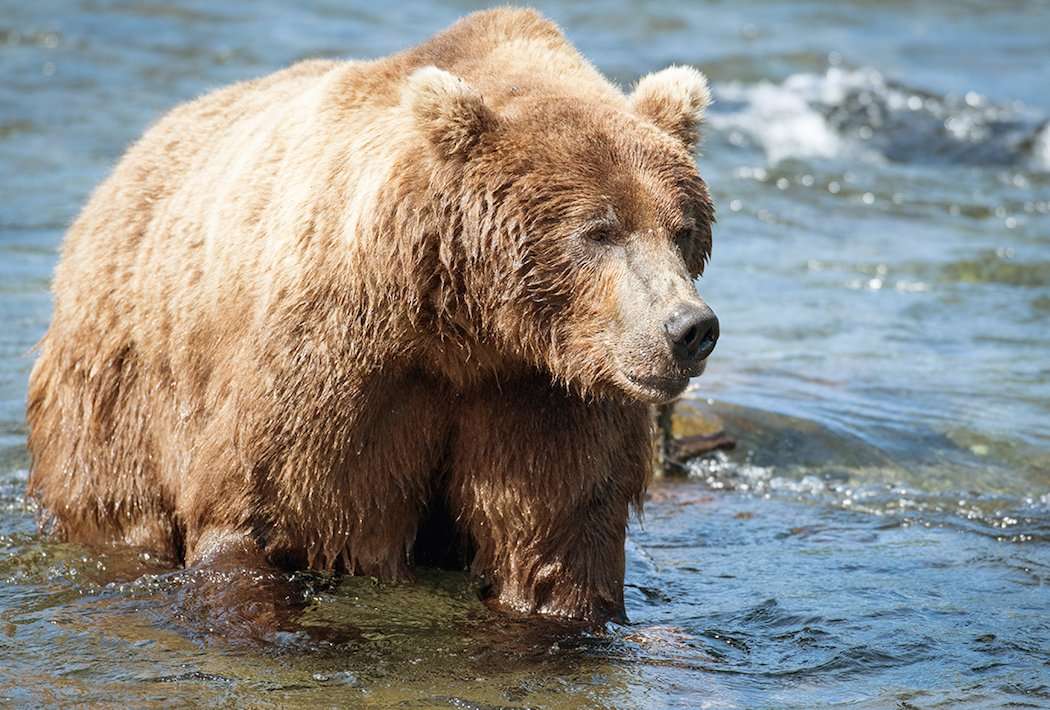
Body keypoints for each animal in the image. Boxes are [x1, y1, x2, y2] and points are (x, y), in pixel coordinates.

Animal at [26, 7, 718, 626]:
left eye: (681, 230)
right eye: (599, 231)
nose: (689, 329)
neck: (468, 330)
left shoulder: (543, 393)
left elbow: (555, 537)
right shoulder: (335, 367)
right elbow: (255, 509)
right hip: (121, 387)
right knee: (118, 507)